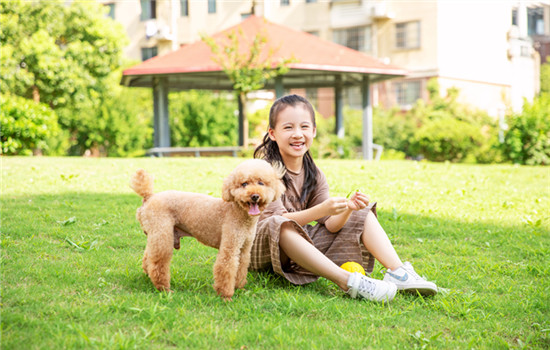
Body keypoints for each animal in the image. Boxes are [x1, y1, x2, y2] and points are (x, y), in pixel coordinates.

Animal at [129, 160, 284, 300]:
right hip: (162, 233)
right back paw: (164, 288)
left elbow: (241, 268)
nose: (255, 196)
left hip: (158, 234)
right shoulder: (229, 247)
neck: (238, 211)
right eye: (244, 184)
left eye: (261, 183)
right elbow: (226, 269)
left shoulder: (244, 249)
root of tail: (149, 196)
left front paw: (239, 287)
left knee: (148, 257)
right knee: (159, 262)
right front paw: (226, 295)